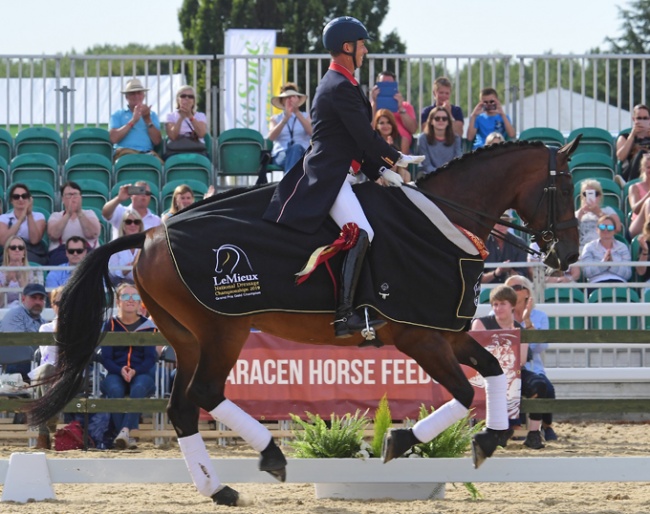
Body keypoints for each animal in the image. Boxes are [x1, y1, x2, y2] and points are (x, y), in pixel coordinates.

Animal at [29, 136, 576, 504]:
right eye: (565, 187)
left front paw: (488, 439)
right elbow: (463, 392)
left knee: (184, 407)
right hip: (222, 329)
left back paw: (219, 489)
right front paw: (400, 440)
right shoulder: (420, 338)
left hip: (187, 338)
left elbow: (494, 370)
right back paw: (270, 455)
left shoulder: (443, 331)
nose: (567, 256)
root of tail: (146, 236)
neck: (439, 226)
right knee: (205, 393)